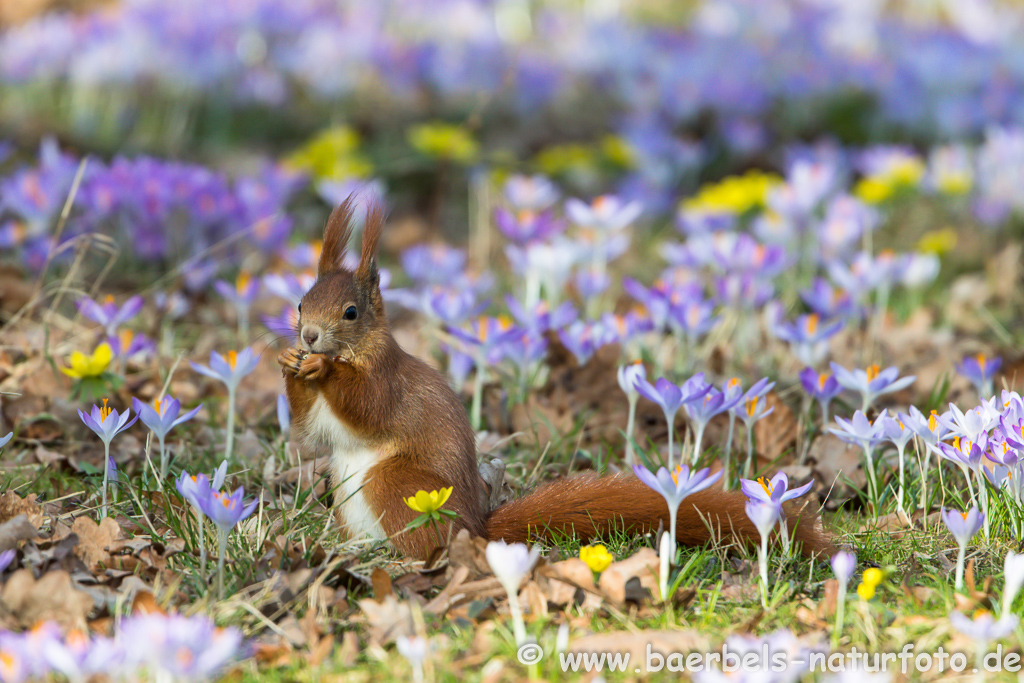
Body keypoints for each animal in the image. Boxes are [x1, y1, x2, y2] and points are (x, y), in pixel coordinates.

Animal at [278, 197, 831, 561]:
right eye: (302, 301)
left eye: (351, 313)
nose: (308, 336)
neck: (357, 351)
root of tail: (475, 530)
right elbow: (310, 430)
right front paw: (291, 365)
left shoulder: (387, 378)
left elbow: (369, 405)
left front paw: (323, 368)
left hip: (397, 484)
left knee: (422, 540)